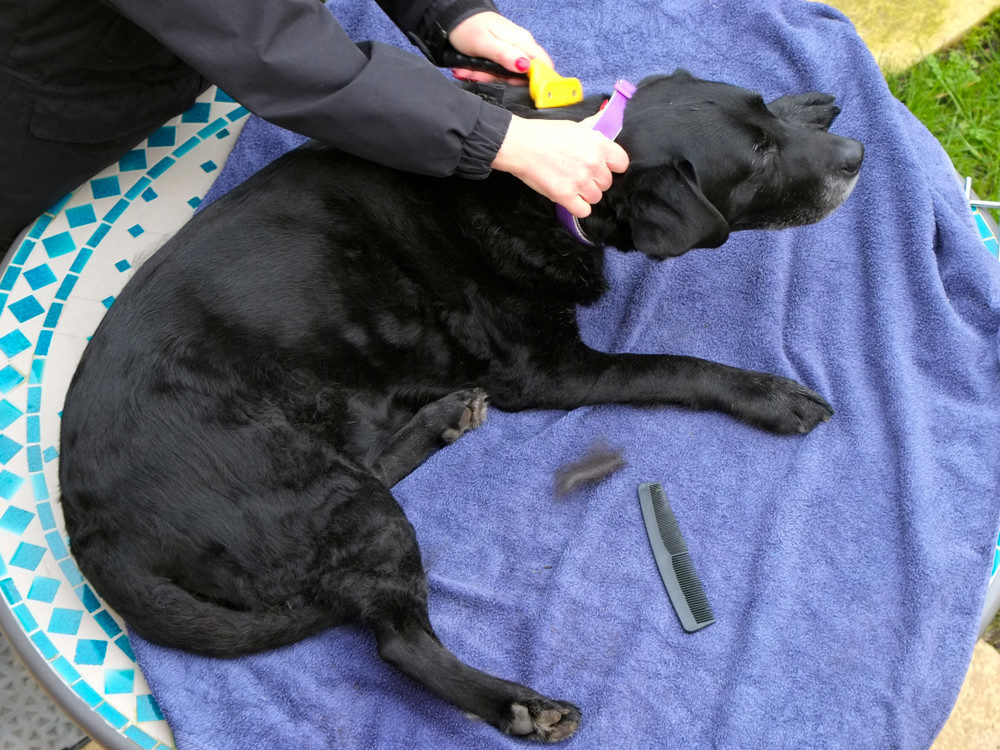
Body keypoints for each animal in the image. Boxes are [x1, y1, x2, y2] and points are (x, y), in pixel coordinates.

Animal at [58, 72, 864, 748]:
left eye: (764, 120)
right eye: (757, 161)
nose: (855, 155)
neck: (549, 183)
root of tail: (90, 529)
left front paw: (808, 102)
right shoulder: (546, 371)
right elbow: (673, 366)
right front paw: (770, 395)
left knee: (374, 472)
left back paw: (440, 420)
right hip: (324, 493)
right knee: (398, 636)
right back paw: (519, 704)